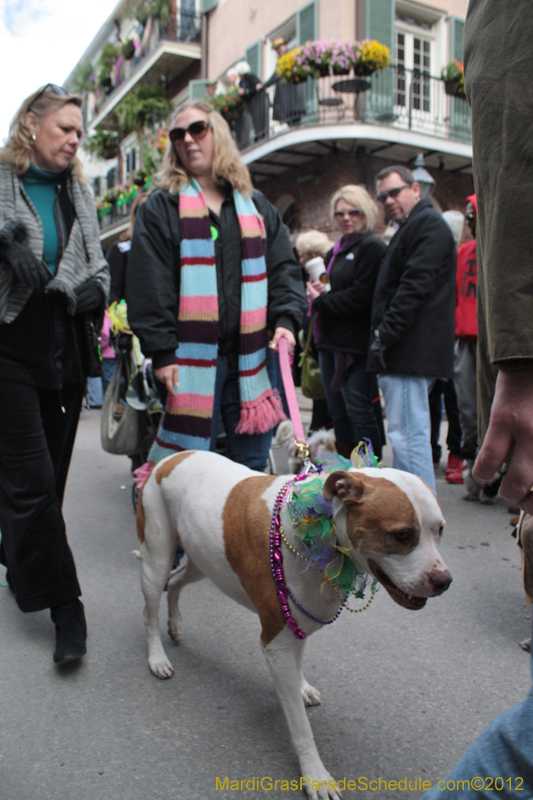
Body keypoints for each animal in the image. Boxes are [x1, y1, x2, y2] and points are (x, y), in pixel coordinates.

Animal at [136, 450, 448, 800]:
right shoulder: (277, 641)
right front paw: (316, 776)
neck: (324, 529)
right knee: (150, 608)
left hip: (202, 563)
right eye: (402, 535)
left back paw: (175, 626)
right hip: (156, 559)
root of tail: (172, 456)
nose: (444, 580)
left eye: (440, 530)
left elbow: (299, 663)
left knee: (176, 582)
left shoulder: (298, 622)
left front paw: (301, 688)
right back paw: (157, 658)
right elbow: (301, 727)